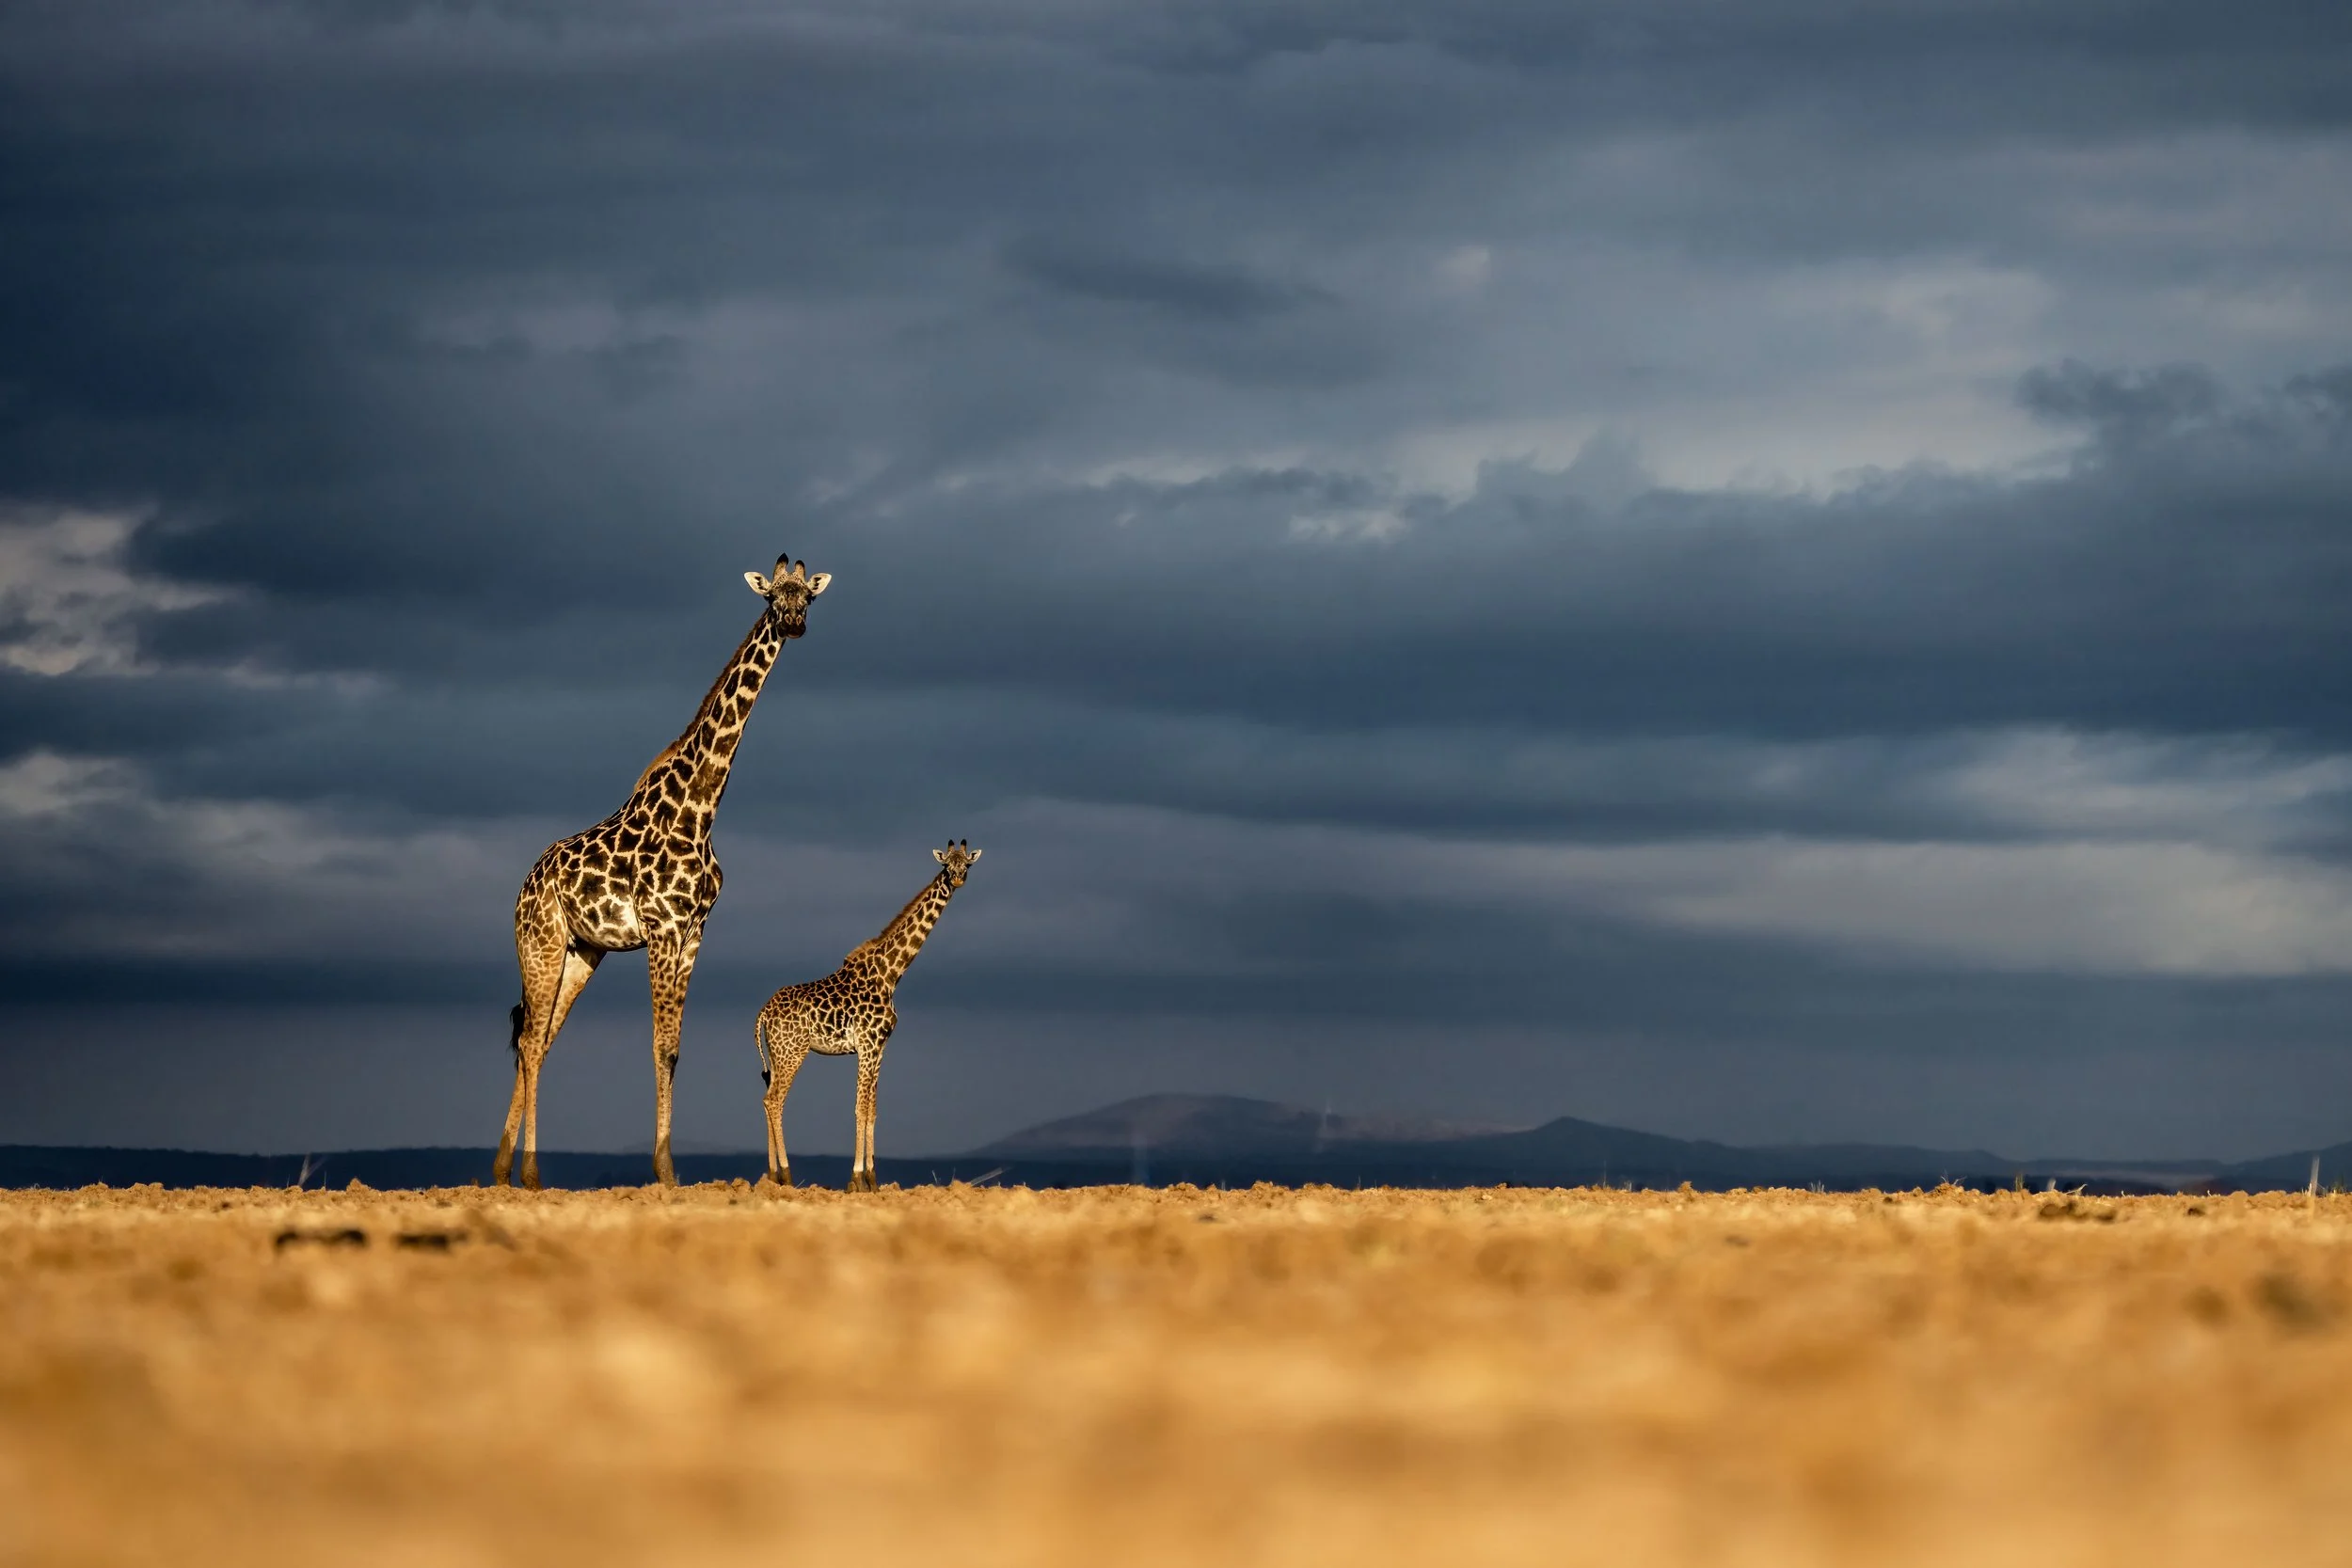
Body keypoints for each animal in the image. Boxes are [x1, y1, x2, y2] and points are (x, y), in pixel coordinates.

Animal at [494, 554, 831, 1190]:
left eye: (808, 598)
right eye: (773, 596)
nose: (795, 625)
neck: (700, 807)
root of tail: (524, 886)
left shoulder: (694, 931)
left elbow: (674, 1047)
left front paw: (668, 1168)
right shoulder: (660, 929)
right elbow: (659, 1045)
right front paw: (665, 1170)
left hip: (582, 952)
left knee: (539, 1039)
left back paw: (503, 1168)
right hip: (540, 942)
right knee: (528, 1038)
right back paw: (526, 1171)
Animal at [754, 840, 982, 1192]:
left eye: (966, 865)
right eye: (947, 865)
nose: (957, 879)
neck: (890, 974)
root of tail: (764, 1012)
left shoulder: (880, 1048)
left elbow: (873, 1109)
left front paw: (873, 1181)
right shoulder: (867, 1045)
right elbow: (860, 1108)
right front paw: (857, 1180)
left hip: (777, 1054)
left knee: (767, 1098)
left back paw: (772, 1176)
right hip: (793, 1052)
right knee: (774, 1101)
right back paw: (787, 1176)